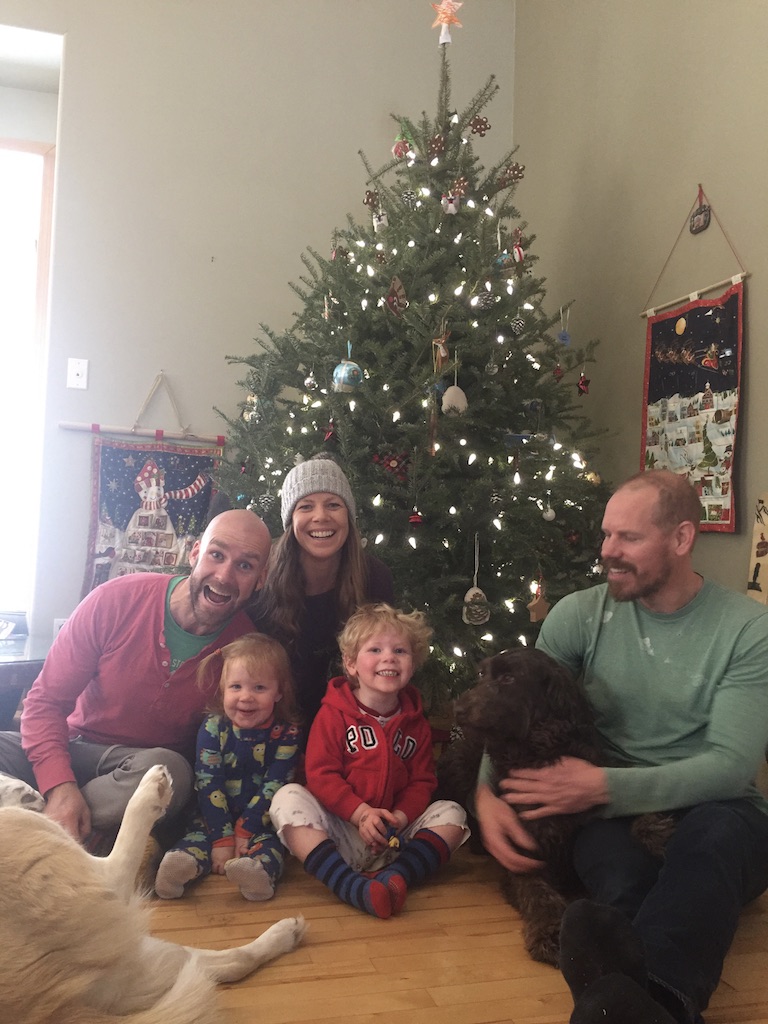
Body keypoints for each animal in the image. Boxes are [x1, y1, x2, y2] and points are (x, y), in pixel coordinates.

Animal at [0, 764, 306, 1024]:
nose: (31, 793)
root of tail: (58, 1008)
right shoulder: (102, 877)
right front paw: (153, 789)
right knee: (231, 961)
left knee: (226, 963)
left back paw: (284, 934)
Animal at [436, 647, 673, 966]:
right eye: (482, 674)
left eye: (509, 678)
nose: (458, 709)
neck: (539, 754)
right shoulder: (522, 856)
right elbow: (539, 895)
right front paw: (550, 931)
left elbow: (628, 794)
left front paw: (656, 830)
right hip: (459, 761)